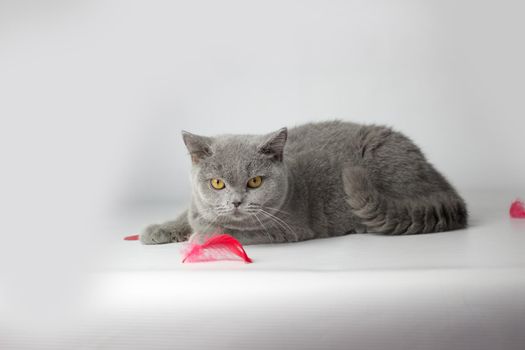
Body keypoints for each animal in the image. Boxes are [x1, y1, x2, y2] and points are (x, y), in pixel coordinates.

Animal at [139, 121, 466, 245]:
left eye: (255, 181)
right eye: (217, 183)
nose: (236, 202)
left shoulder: (286, 228)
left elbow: (233, 231)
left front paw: (202, 235)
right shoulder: (197, 205)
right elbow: (188, 215)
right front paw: (159, 230)